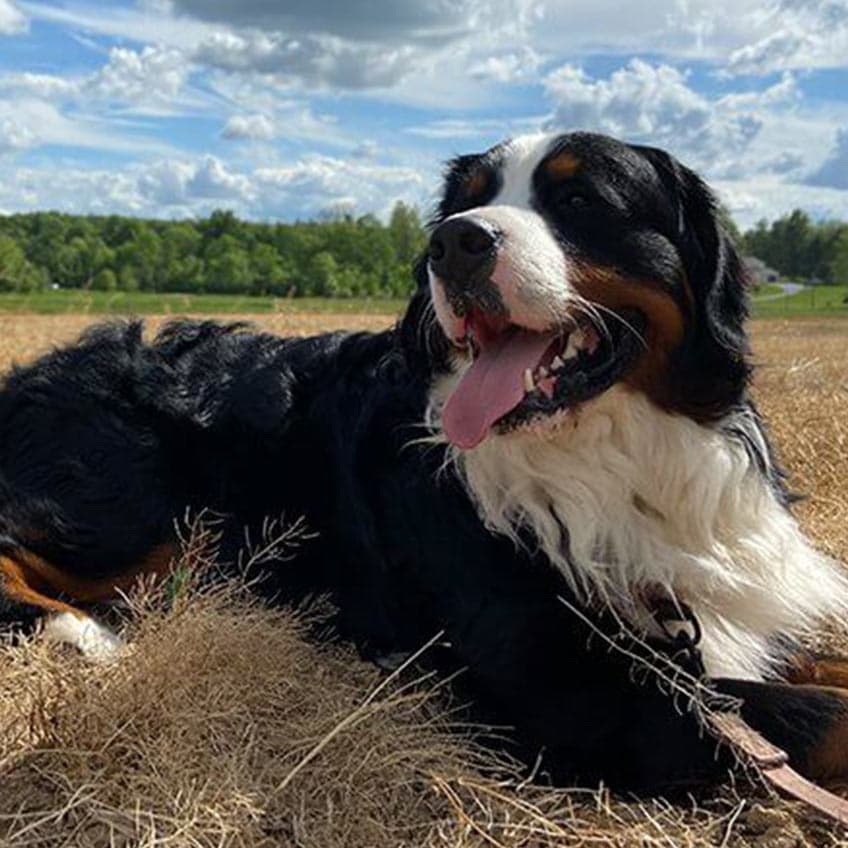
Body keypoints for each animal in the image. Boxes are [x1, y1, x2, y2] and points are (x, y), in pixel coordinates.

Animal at [1, 129, 848, 792]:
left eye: (580, 202)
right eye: (460, 205)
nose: (454, 243)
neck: (611, 454)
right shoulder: (561, 684)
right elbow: (817, 717)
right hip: (147, 503)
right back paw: (84, 635)